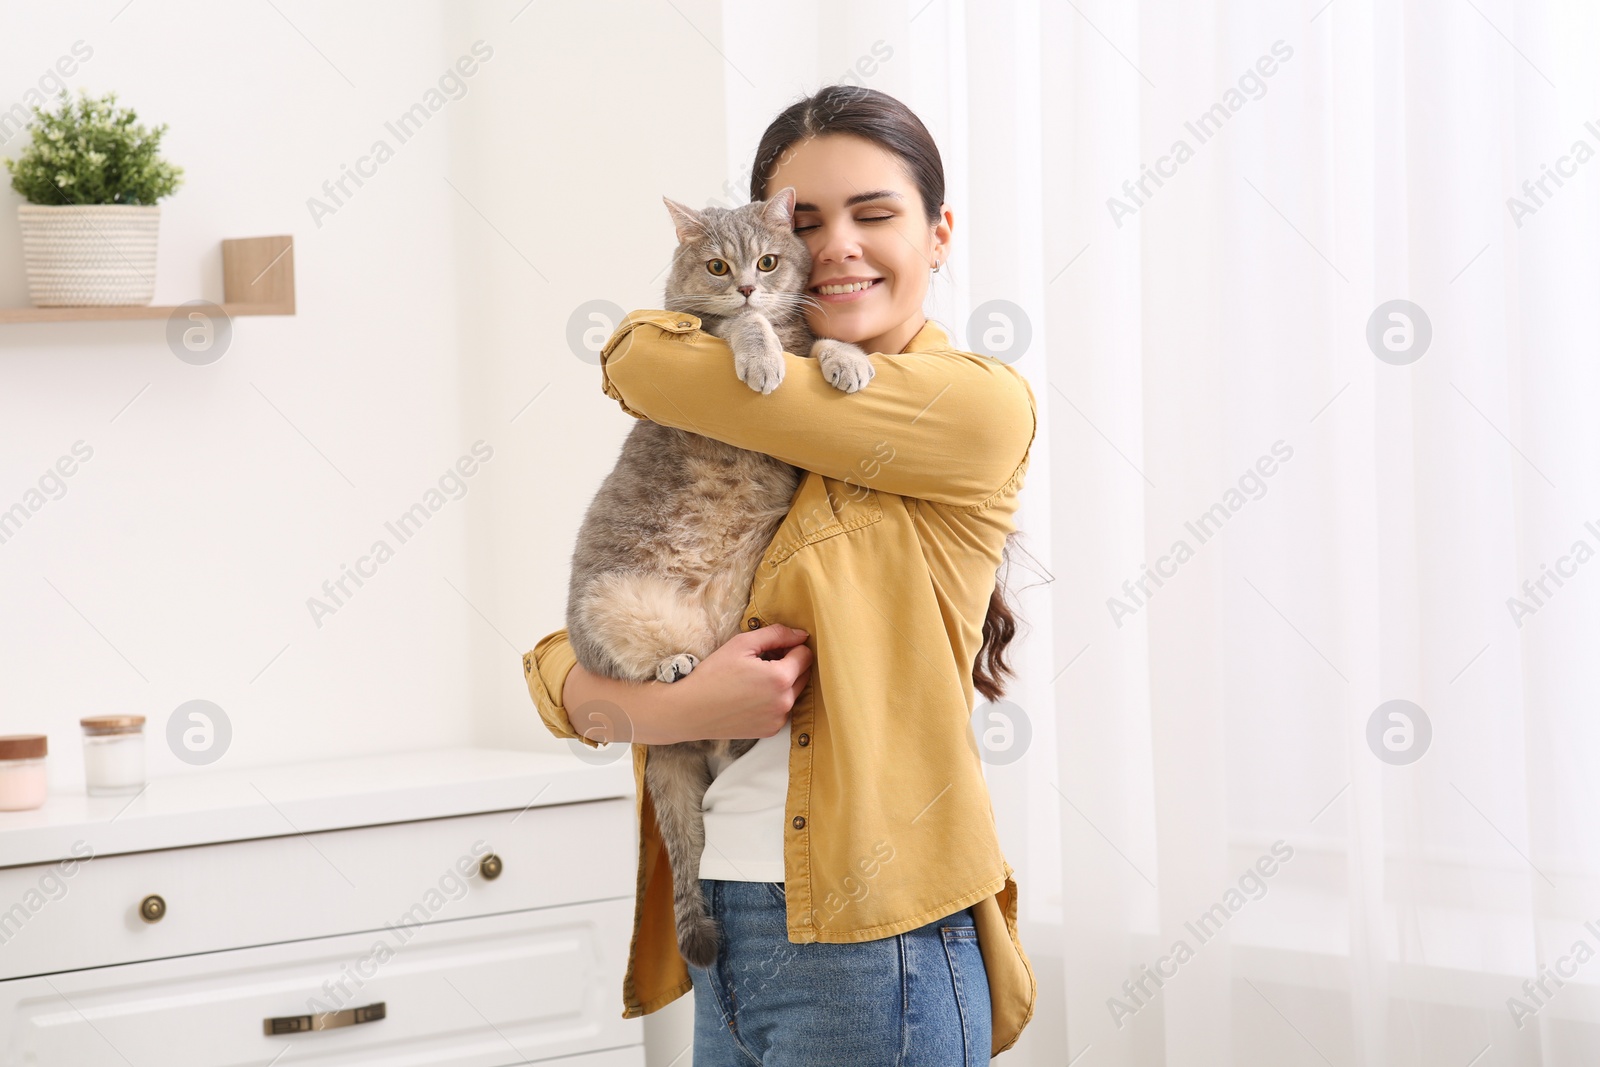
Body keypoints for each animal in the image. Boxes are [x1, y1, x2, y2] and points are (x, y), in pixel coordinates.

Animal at [569, 187, 876, 972]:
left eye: (767, 260)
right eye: (716, 266)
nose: (745, 284)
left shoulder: (802, 327)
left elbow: (821, 342)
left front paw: (848, 361)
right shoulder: (707, 327)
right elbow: (741, 327)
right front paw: (762, 357)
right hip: (609, 607)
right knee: (639, 671)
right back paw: (676, 665)